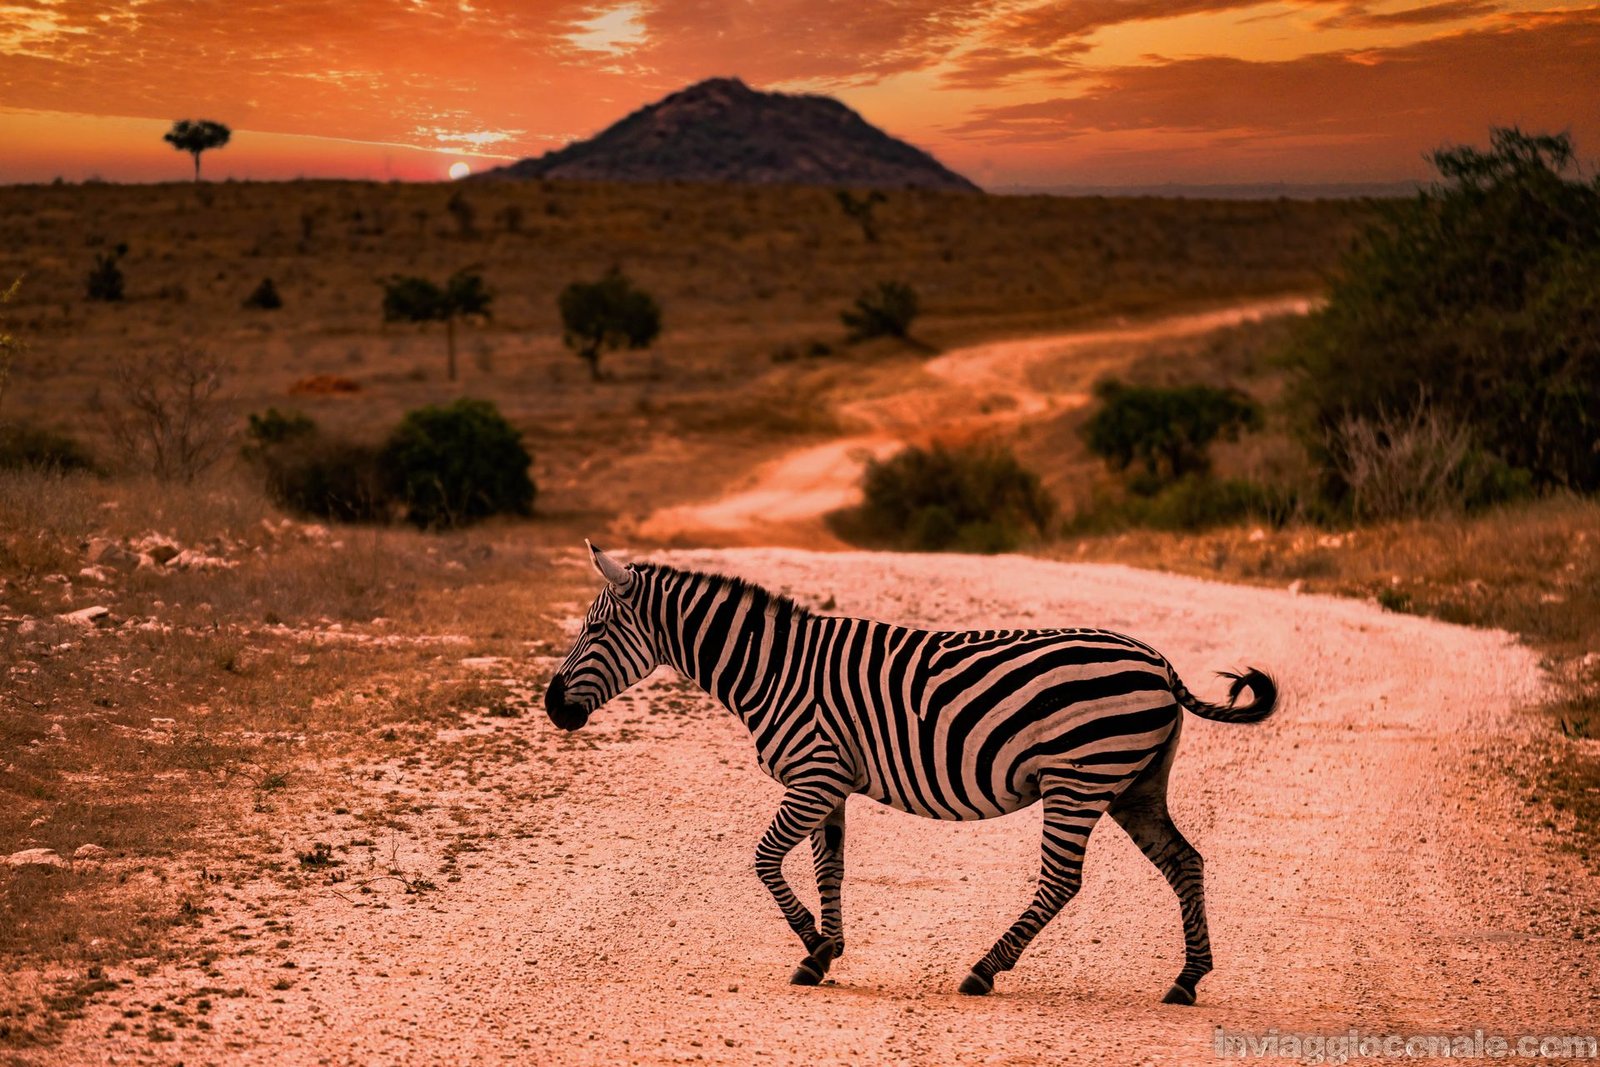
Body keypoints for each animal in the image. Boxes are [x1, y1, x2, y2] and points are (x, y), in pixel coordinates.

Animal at [545, 542, 1278, 1001]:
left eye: (596, 629)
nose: (552, 706)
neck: (771, 668)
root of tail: (1158, 661)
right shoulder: (831, 781)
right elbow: (830, 868)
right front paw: (823, 951)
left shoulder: (812, 774)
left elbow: (763, 859)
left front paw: (813, 942)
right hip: (1134, 783)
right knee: (1184, 861)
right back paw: (1186, 980)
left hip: (1079, 776)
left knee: (1062, 880)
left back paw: (983, 970)